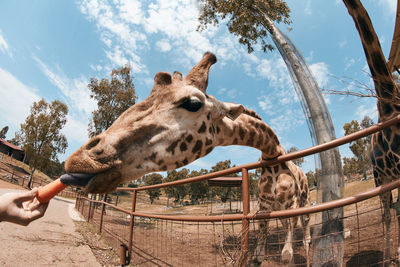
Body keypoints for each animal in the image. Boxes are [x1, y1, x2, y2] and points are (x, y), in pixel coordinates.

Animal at [65, 52, 310, 266]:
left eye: (192, 103)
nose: (80, 160)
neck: (272, 156)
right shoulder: (265, 205)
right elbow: (261, 234)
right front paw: (258, 257)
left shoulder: (291, 204)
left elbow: (287, 248)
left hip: (304, 202)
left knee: (306, 234)